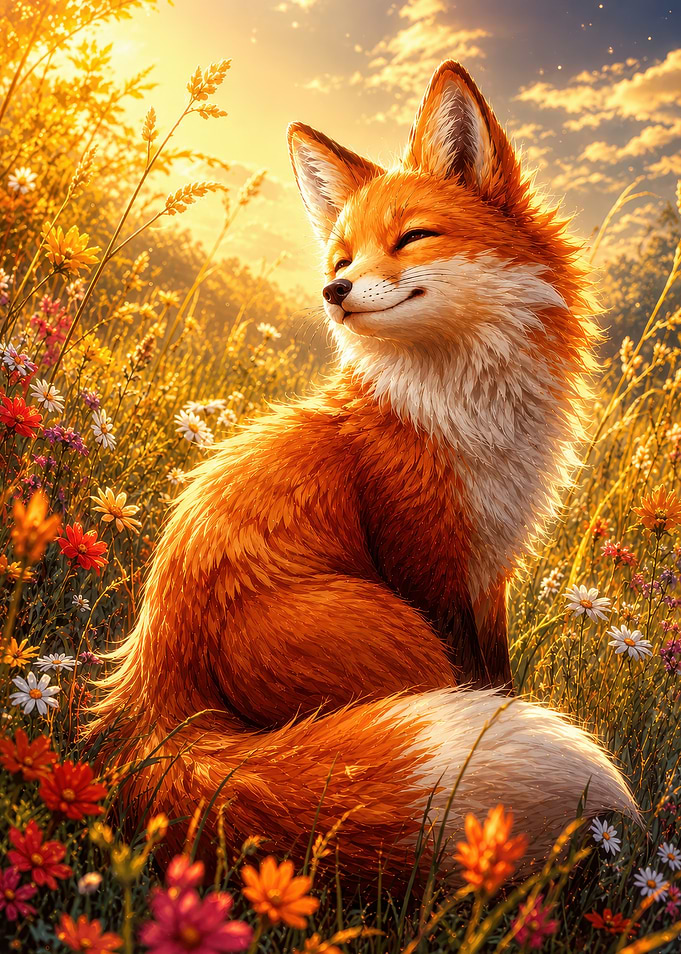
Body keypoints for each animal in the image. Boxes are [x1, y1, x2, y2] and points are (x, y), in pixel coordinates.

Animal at [90, 61, 638, 881]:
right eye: (342, 259)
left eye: (411, 237)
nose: (333, 292)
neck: (456, 412)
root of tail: (152, 695)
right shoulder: (431, 564)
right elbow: (487, 683)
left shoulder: (489, 568)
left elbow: (503, 677)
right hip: (398, 637)